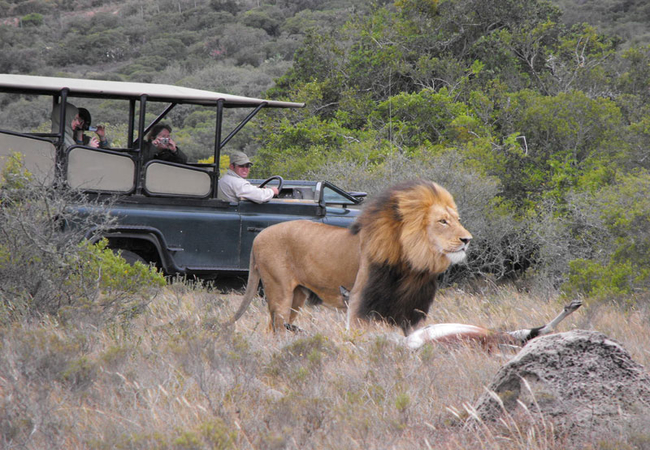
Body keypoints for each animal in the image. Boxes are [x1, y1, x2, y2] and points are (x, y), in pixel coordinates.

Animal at [229, 179, 470, 334]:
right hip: (279, 291)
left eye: (457, 219)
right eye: (442, 221)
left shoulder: (411, 309)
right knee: (276, 328)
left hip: (297, 296)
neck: (410, 265)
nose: (468, 239)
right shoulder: (358, 301)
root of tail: (259, 237)